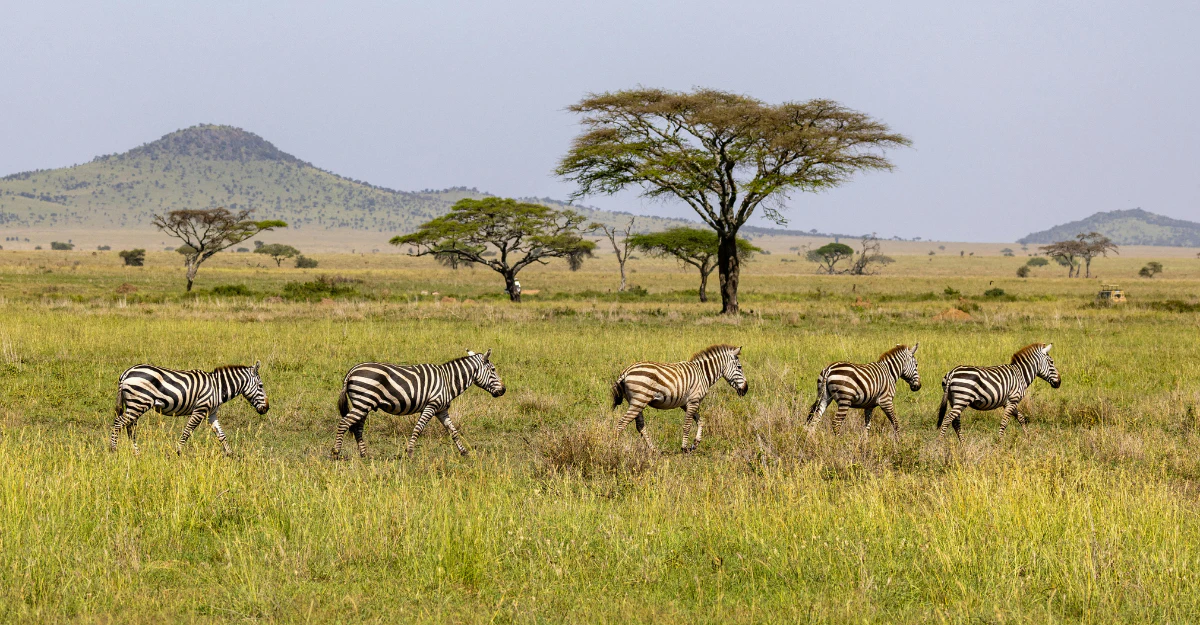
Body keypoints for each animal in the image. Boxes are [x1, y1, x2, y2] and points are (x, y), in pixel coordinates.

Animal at [111, 362, 269, 456]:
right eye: (261, 386)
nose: (267, 408)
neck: (217, 388)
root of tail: (126, 372)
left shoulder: (211, 413)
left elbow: (221, 435)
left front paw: (231, 455)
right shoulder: (200, 409)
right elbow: (187, 431)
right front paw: (178, 452)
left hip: (134, 404)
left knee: (130, 428)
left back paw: (136, 453)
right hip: (139, 403)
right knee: (118, 423)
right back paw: (113, 450)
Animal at [331, 349, 505, 459]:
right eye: (493, 370)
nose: (503, 390)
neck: (448, 380)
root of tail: (352, 371)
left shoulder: (441, 410)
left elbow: (453, 431)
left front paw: (464, 452)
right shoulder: (431, 406)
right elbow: (418, 428)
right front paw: (409, 452)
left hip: (363, 404)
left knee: (357, 428)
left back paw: (364, 455)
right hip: (363, 402)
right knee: (344, 423)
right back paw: (335, 452)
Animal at [610, 344, 748, 452]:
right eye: (739, 367)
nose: (746, 389)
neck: (703, 374)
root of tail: (626, 371)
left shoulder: (686, 403)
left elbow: (700, 421)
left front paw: (695, 443)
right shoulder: (693, 401)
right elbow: (687, 425)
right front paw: (684, 448)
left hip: (636, 402)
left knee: (640, 426)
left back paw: (653, 449)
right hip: (639, 401)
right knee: (621, 424)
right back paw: (614, 450)